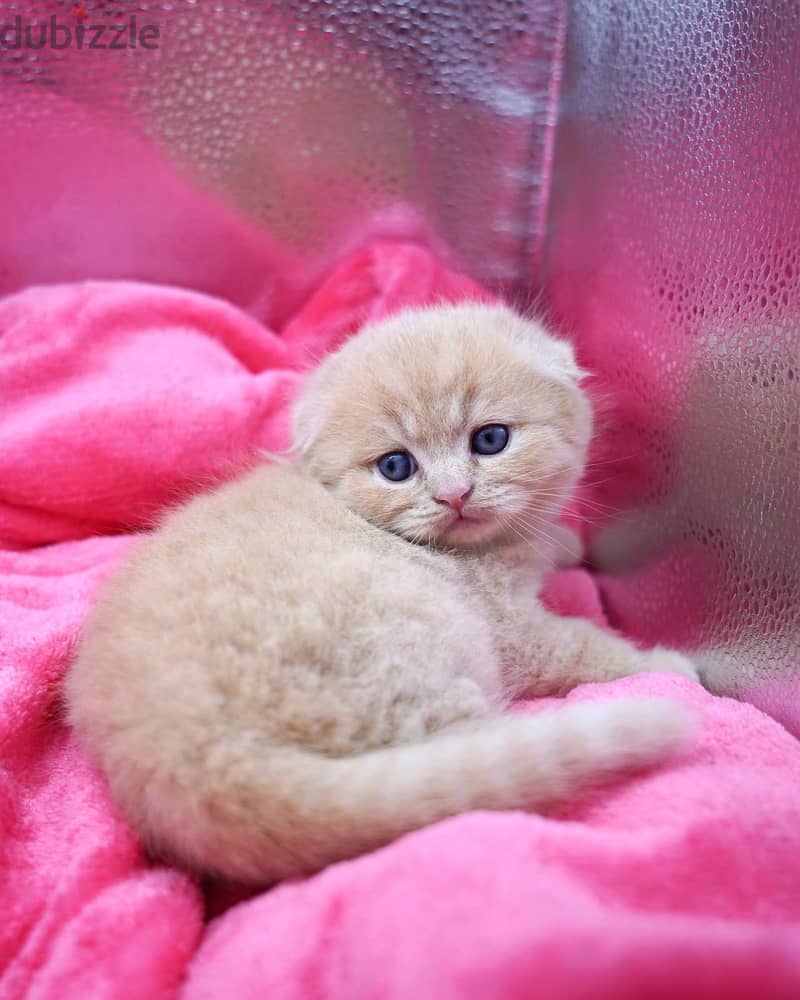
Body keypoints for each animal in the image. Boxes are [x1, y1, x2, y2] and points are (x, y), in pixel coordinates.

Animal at [65, 300, 696, 880]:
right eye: (396, 467)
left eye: (490, 439)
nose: (454, 495)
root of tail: (198, 765)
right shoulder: (512, 631)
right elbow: (583, 646)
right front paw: (664, 664)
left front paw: (561, 542)